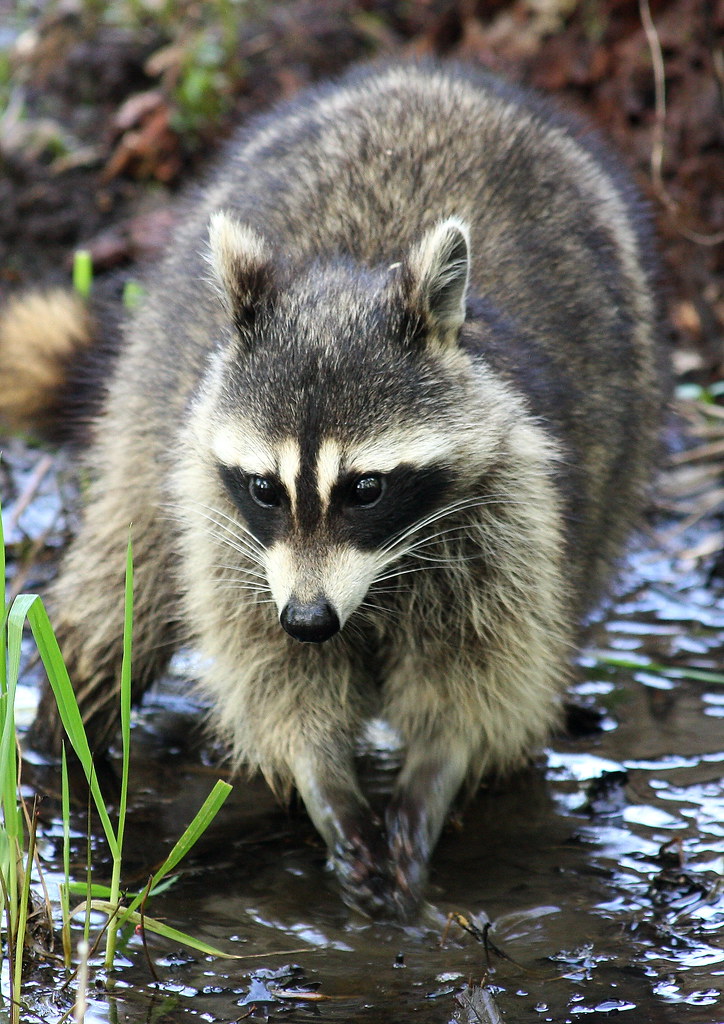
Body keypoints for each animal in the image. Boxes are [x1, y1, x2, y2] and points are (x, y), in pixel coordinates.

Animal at [3, 61, 666, 916]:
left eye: (367, 488)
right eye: (264, 486)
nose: (310, 620)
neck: (344, 286)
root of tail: (430, 75)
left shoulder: (510, 504)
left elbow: (481, 665)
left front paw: (437, 769)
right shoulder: (228, 527)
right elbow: (270, 670)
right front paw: (323, 778)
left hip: (618, 444)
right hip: (155, 391)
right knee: (126, 577)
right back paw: (67, 741)